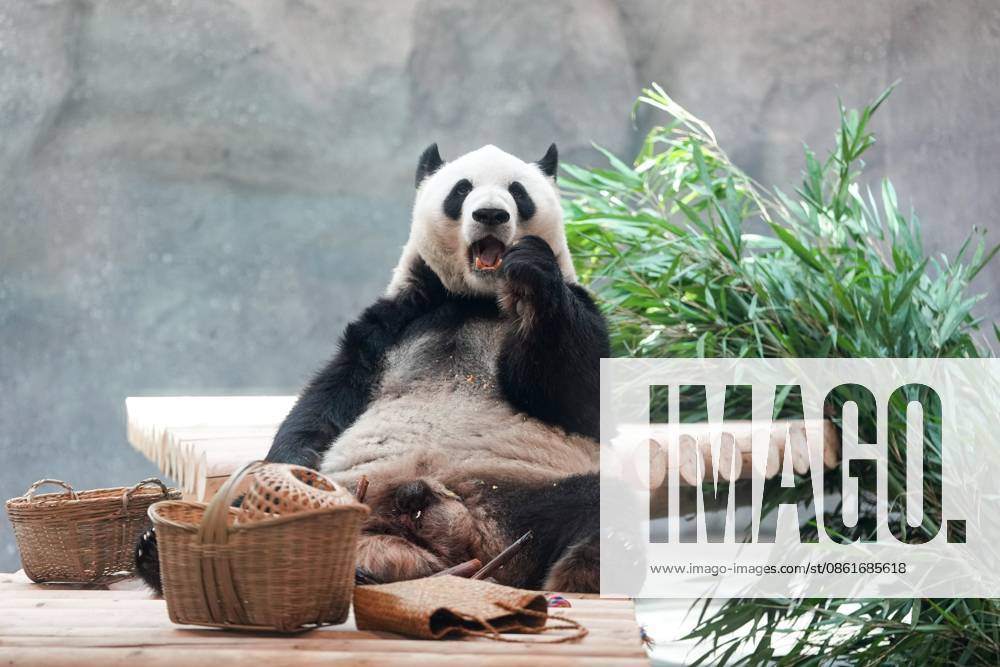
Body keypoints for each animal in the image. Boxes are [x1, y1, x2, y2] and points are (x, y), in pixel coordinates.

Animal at [137, 143, 609, 593]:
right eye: (462, 190)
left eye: (518, 192)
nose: (491, 213)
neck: (474, 299)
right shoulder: (392, 324)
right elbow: (325, 401)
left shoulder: (578, 310)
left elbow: (577, 390)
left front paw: (529, 272)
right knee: (242, 509)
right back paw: (161, 549)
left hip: (518, 492)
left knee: (596, 508)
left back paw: (582, 576)